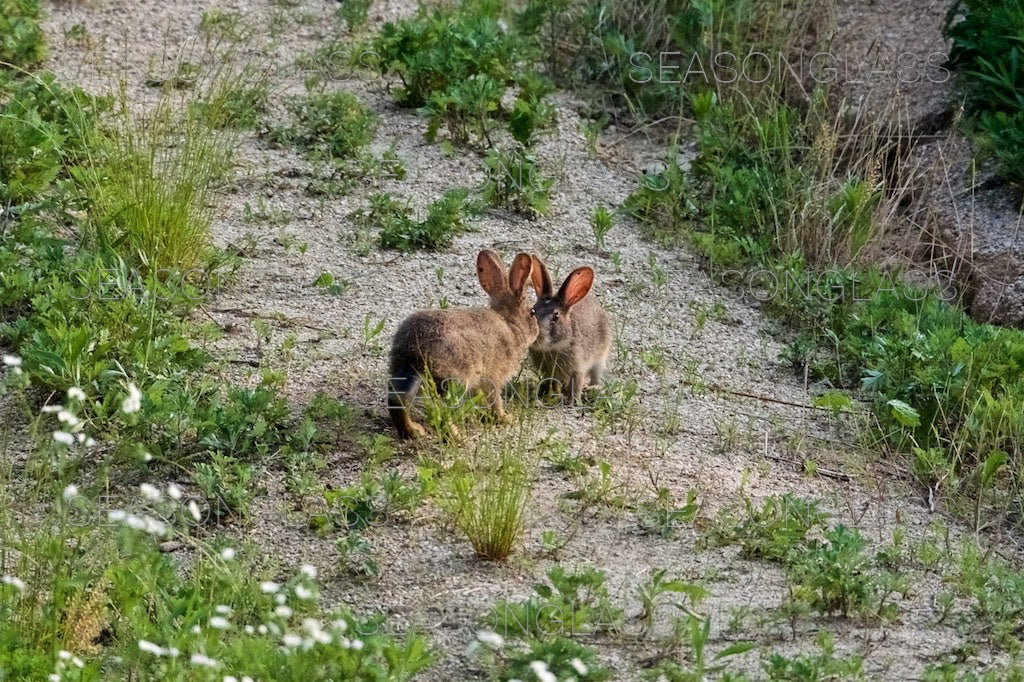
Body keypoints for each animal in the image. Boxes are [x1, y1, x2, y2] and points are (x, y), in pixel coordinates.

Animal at [387, 248, 540, 436]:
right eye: (532, 313)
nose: (537, 330)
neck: (509, 325)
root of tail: (415, 350)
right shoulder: (493, 375)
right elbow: (494, 398)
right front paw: (504, 418)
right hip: (455, 378)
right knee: (444, 409)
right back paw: (457, 436)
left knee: (398, 400)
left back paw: (414, 432)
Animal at [532, 253, 610, 403]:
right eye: (532, 310)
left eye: (556, 316)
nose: (535, 334)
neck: (554, 347)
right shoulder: (548, 372)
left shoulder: (578, 367)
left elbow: (577, 383)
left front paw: (572, 401)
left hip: (601, 355)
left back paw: (593, 389)